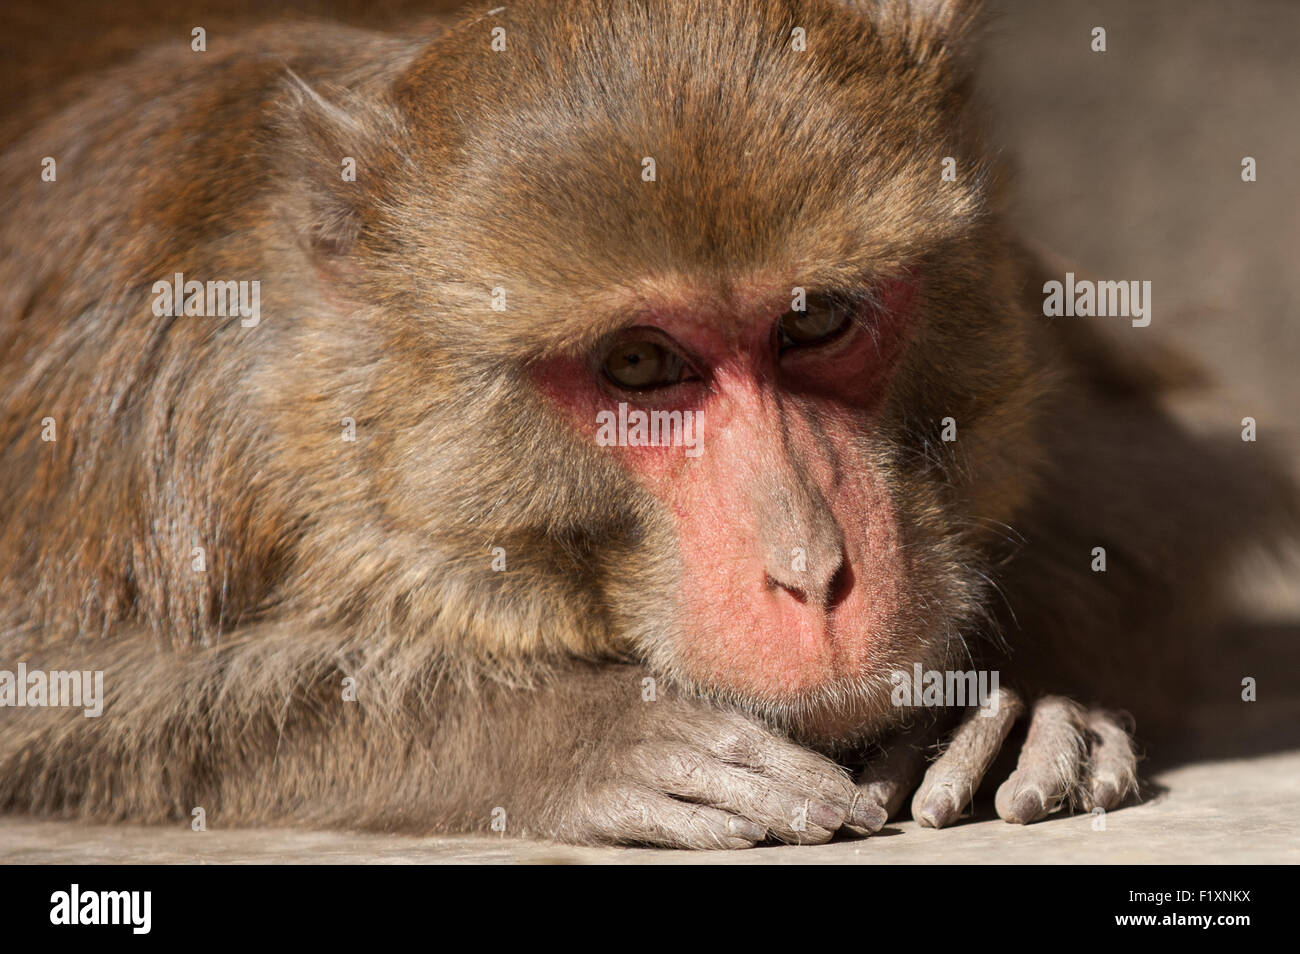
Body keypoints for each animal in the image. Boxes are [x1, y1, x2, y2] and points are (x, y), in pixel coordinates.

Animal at [0, 0, 1294, 849]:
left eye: (815, 320)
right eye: (638, 365)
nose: (812, 570)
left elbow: (1160, 521)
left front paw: (997, 712)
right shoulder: (160, 426)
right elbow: (59, 705)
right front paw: (570, 738)